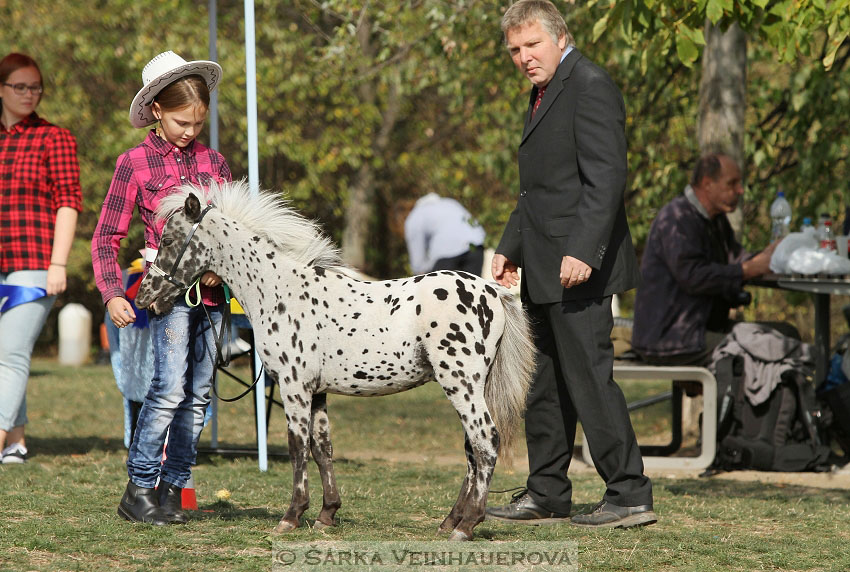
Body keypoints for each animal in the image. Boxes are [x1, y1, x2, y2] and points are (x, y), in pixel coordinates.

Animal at [133, 182, 532, 540]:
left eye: (168, 241)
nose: (144, 298)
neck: (279, 290)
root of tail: (492, 292)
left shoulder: (294, 387)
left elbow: (297, 447)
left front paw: (291, 517)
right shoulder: (317, 392)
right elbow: (322, 448)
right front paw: (327, 515)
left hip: (461, 385)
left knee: (485, 442)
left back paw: (466, 526)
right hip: (470, 388)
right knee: (472, 451)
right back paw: (450, 522)